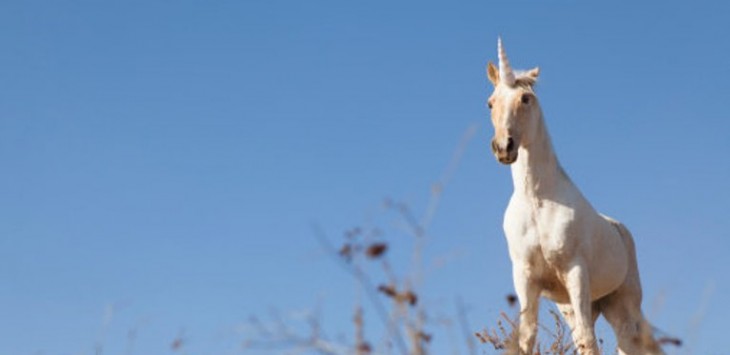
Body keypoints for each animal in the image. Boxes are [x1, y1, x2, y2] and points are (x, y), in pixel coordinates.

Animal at [486, 37, 664, 354]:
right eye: (491, 102)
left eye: (526, 99)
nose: (504, 147)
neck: (538, 200)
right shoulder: (526, 279)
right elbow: (527, 337)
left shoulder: (575, 272)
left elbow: (587, 341)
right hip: (584, 305)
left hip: (623, 303)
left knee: (628, 341)